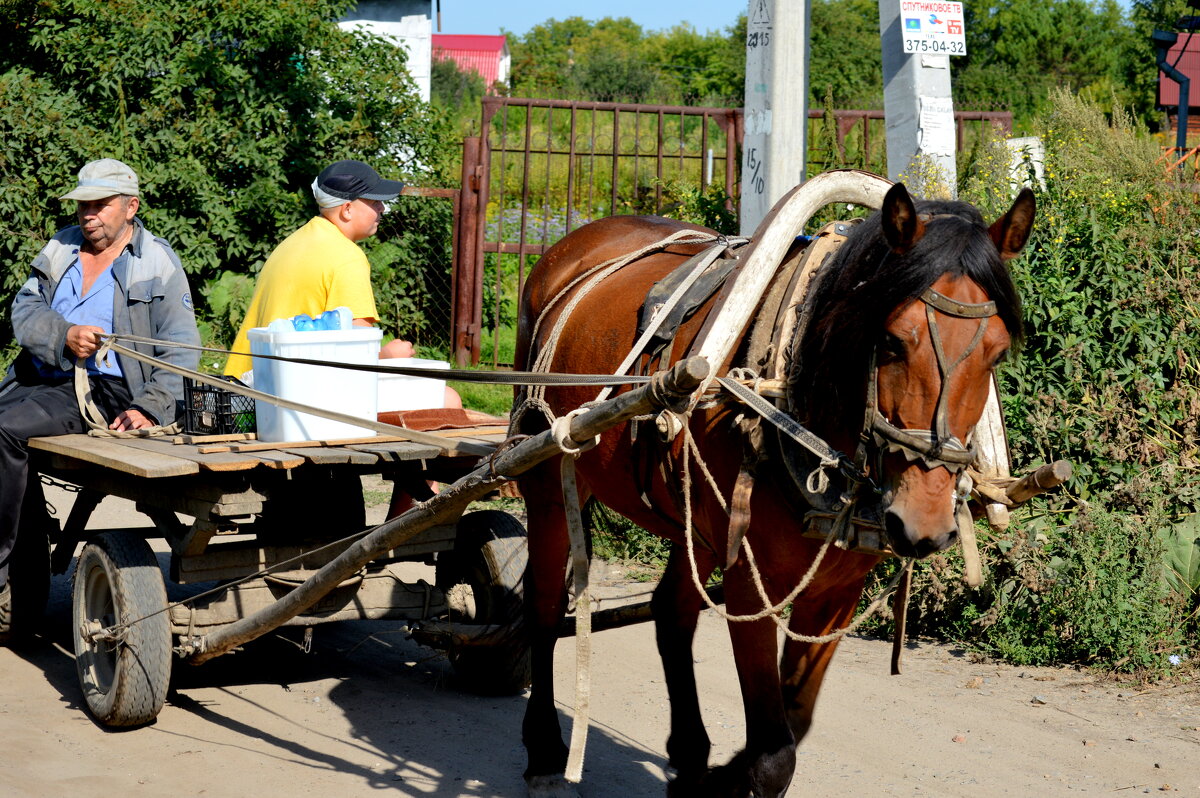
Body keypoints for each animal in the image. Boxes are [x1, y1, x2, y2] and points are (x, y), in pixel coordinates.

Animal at [513, 182, 1032, 796]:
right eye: (889, 342)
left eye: (997, 351)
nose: (922, 525)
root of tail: (575, 241)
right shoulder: (750, 585)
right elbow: (774, 753)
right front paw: (732, 773)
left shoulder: (836, 595)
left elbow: (794, 722)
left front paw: (718, 777)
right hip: (546, 476)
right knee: (545, 606)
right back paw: (546, 748)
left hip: (692, 520)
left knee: (671, 612)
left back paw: (690, 754)